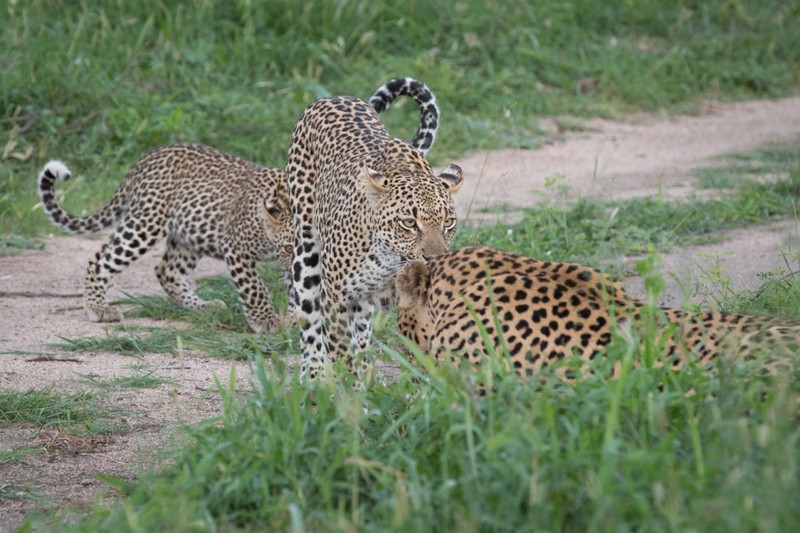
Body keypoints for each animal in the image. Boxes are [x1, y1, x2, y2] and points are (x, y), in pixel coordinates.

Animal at [36, 77, 438, 330]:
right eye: (285, 246)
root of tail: (143, 162)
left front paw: (289, 318)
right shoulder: (239, 251)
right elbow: (255, 290)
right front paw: (267, 322)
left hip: (187, 237)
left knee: (168, 271)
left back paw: (203, 306)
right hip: (145, 223)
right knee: (101, 258)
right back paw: (98, 308)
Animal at [286, 77, 462, 382]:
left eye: (447, 222)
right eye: (409, 223)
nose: (435, 259)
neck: (388, 261)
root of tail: (335, 97)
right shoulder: (335, 296)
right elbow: (340, 349)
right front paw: (348, 389)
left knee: (362, 331)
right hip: (306, 250)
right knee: (309, 319)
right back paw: (314, 373)